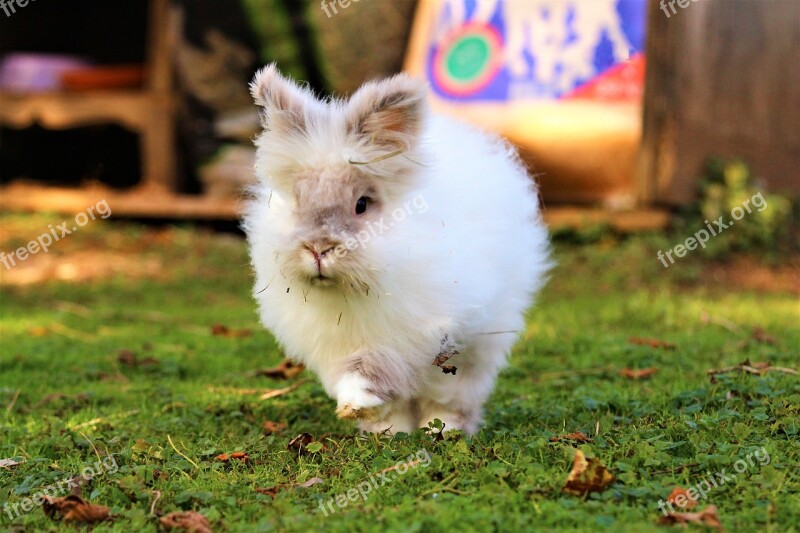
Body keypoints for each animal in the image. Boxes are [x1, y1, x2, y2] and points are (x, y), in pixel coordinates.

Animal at [241, 64, 552, 434]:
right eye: (298, 201)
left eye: (361, 204)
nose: (319, 248)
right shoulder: (337, 346)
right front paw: (364, 415)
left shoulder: (412, 335)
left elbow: (374, 368)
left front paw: (356, 403)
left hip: (473, 349)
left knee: (451, 396)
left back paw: (444, 430)